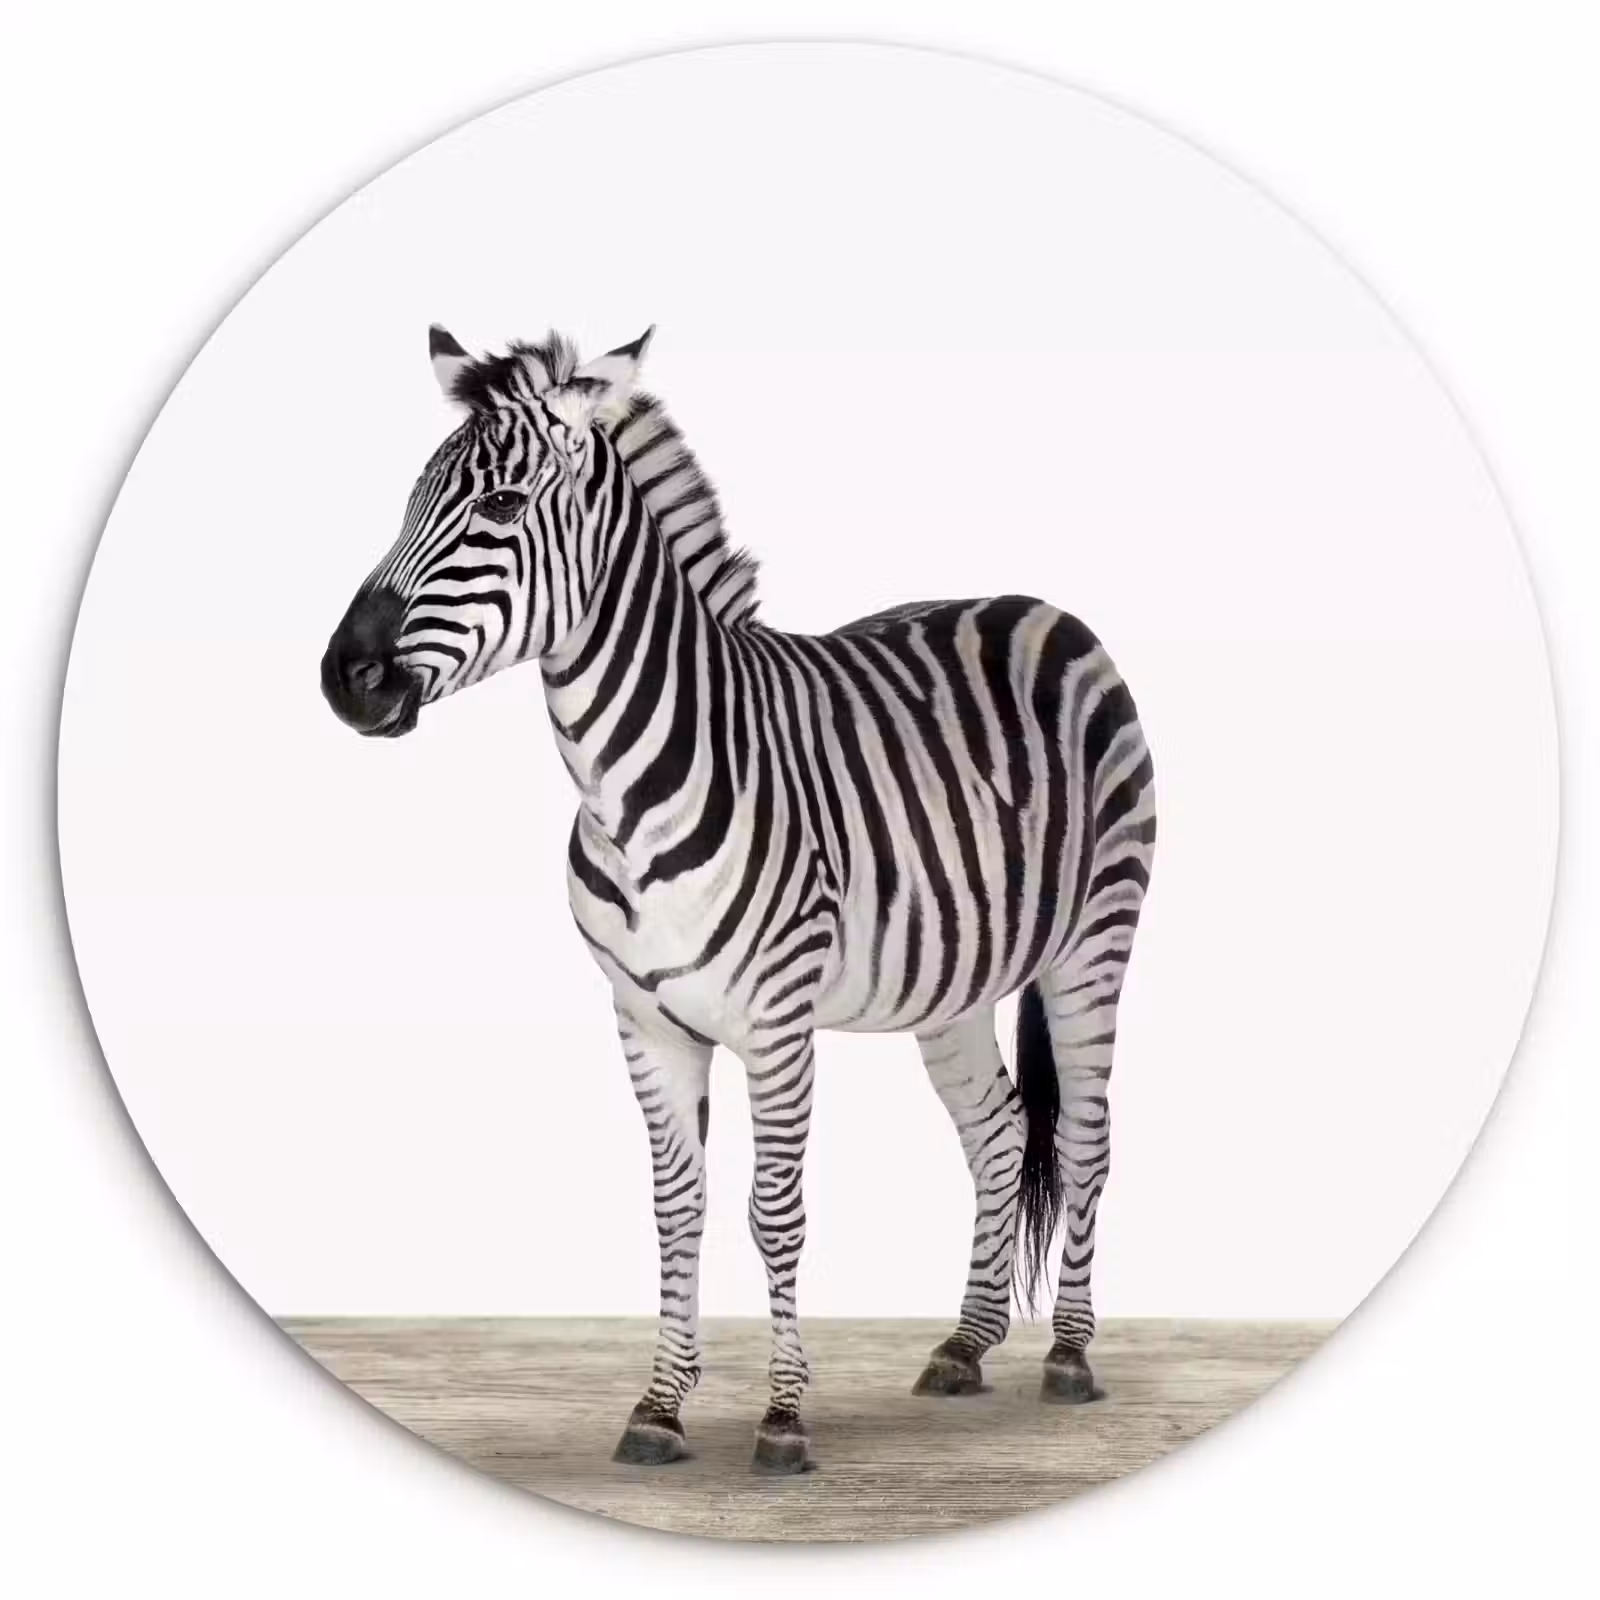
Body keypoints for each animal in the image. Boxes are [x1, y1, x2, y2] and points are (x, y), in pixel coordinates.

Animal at [320, 324, 1156, 1473]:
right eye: (409, 501)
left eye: (498, 506)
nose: (343, 678)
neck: (624, 788)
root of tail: (1044, 607)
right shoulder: (644, 1019)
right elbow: (678, 1209)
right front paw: (659, 1407)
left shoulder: (777, 1019)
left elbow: (775, 1211)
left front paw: (783, 1418)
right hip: (952, 978)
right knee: (995, 1131)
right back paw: (965, 1343)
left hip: (1094, 943)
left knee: (1082, 1137)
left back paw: (1069, 1355)